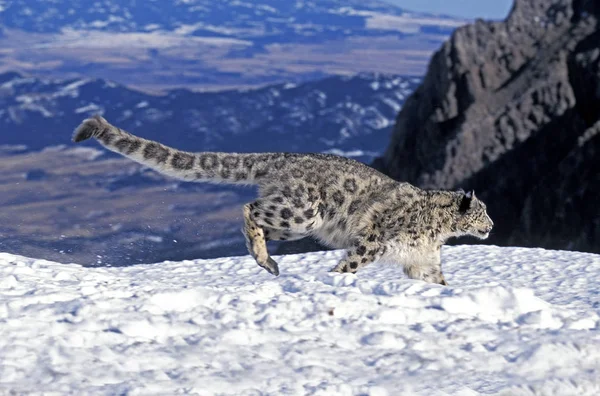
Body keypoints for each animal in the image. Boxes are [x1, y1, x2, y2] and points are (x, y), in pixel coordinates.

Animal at [72, 115, 492, 284]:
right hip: (302, 214)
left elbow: (438, 281)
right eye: (482, 213)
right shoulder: (371, 243)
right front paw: (336, 280)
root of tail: (284, 157)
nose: (492, 225)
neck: (437, 232)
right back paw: (265, 260)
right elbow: (351, 264)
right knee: (250, 209)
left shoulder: (423, 262)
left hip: (294, 222)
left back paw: (266, 260)